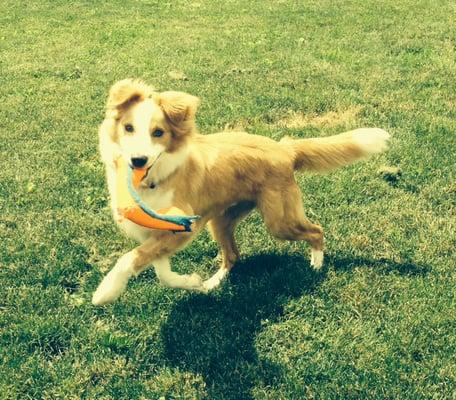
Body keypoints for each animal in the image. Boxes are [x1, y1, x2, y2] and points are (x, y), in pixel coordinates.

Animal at [91, 79, 390, 306]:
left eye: (158, 132)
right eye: (128, 128)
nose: (137, 160)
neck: (155, 178)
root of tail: (285, 148)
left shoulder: (180, 229)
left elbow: (130, 258)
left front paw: (106, 292)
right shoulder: (159, 235)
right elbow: (161, 271)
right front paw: (192, 282)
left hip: (279, 221)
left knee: (316, 231)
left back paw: (316, 265)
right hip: (220, 221)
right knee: (233, 256)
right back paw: (213, 282)